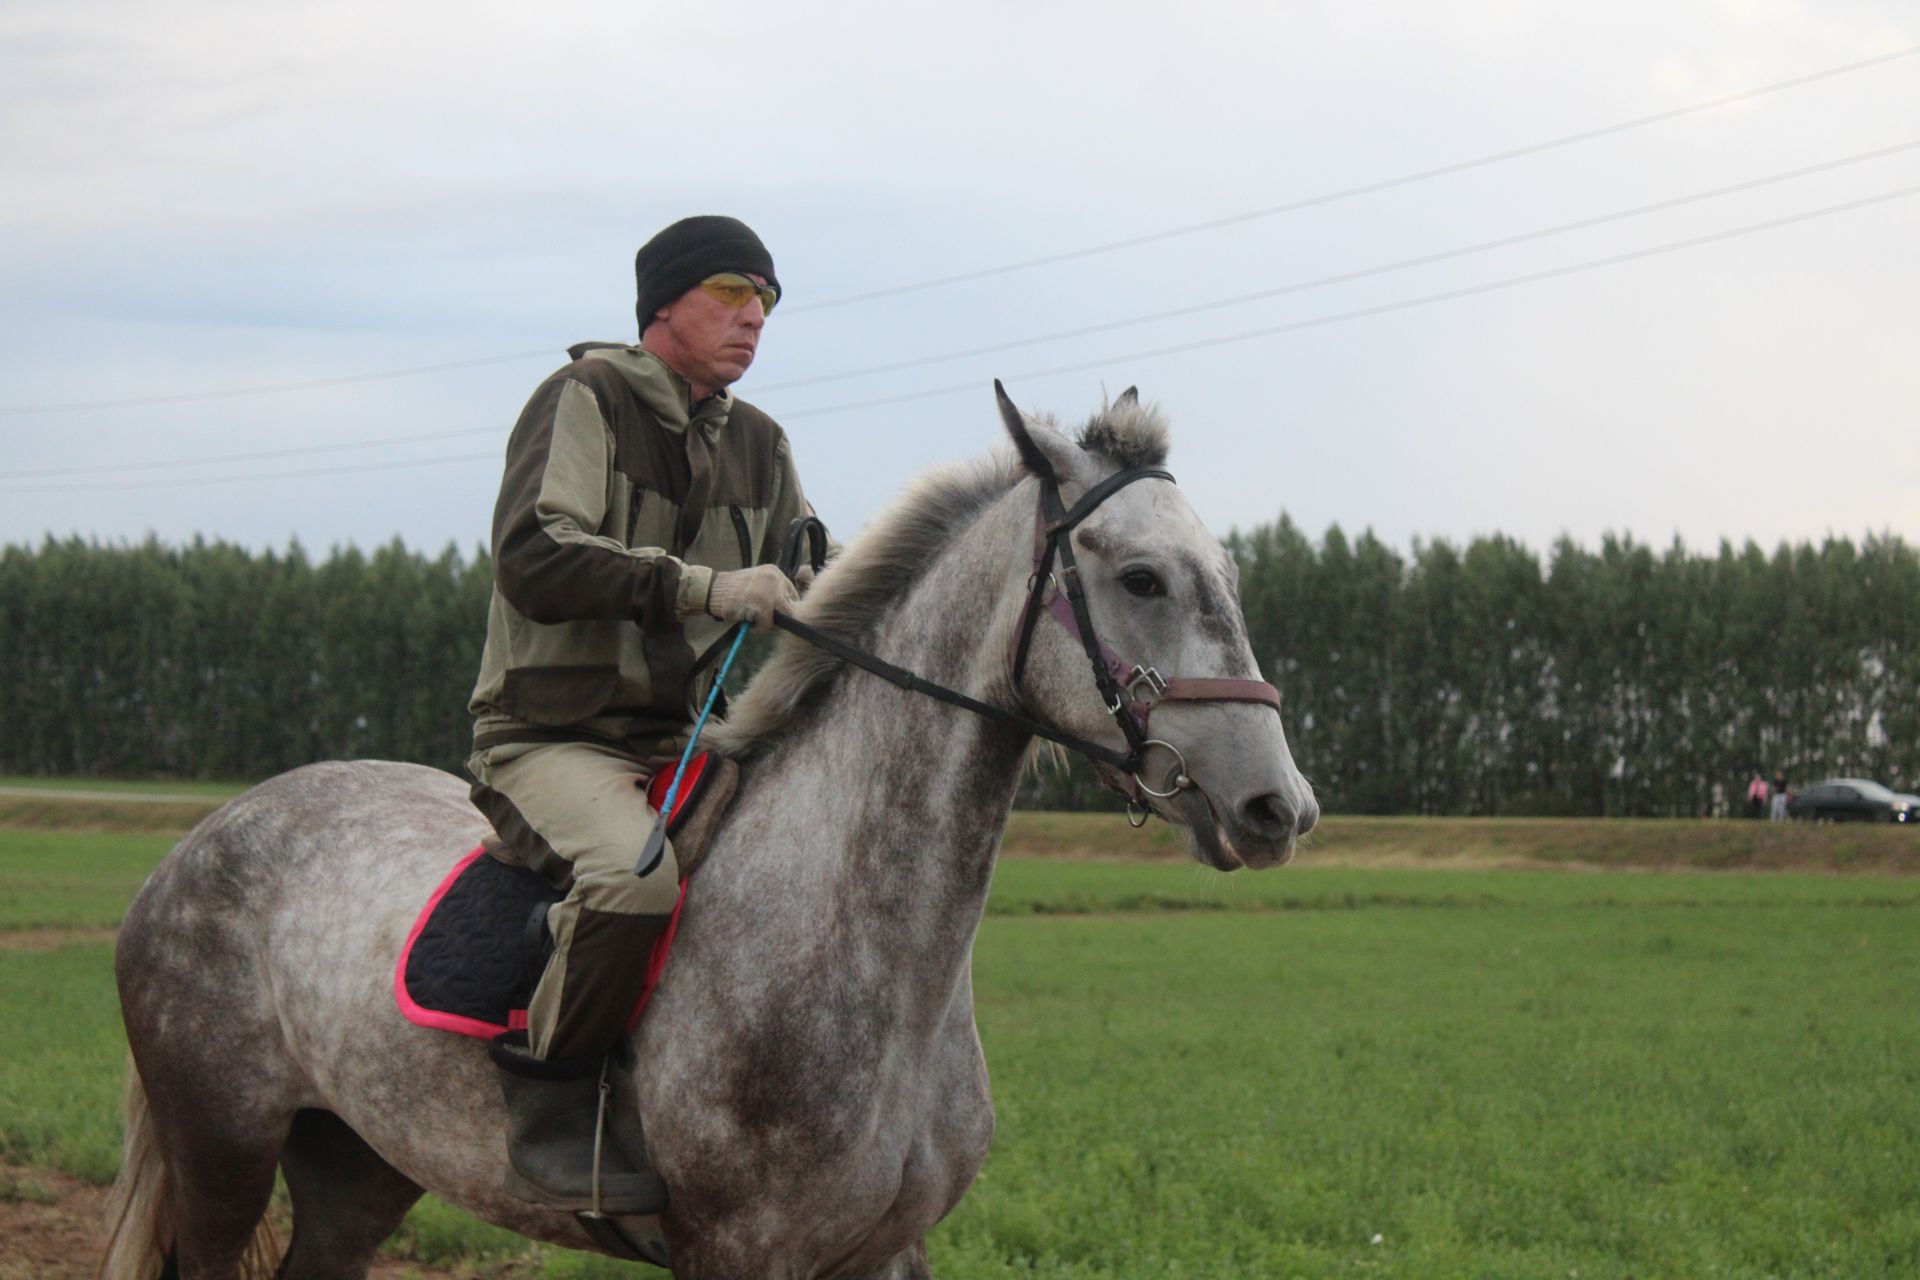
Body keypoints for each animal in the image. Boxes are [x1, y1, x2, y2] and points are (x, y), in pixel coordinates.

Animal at [105, 391, 1320, 1280]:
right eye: (1142, 576)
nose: (1280, 809)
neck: (864, 949)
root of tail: (202, 841)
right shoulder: (740, 1253)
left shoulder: (888, 1250)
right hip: (223, 1154)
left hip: (358, 1166)